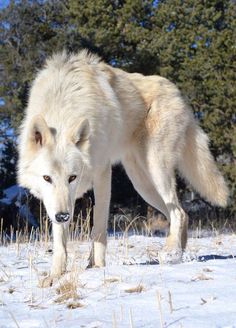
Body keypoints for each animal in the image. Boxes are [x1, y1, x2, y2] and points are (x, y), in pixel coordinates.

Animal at [18, 50, 229, 286]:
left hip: (155, 169)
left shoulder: (102, 173)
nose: (63, 216)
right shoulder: (57, 202)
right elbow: (60, 241)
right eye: (47, 178)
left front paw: (97, 267)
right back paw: (179, 254)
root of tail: (178, 94)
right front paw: (55, 275)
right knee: (181, 213)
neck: (64, 106)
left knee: (178, 213)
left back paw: (171, 253)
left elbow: (99, 227)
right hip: (142, 184)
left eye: (72, 177)